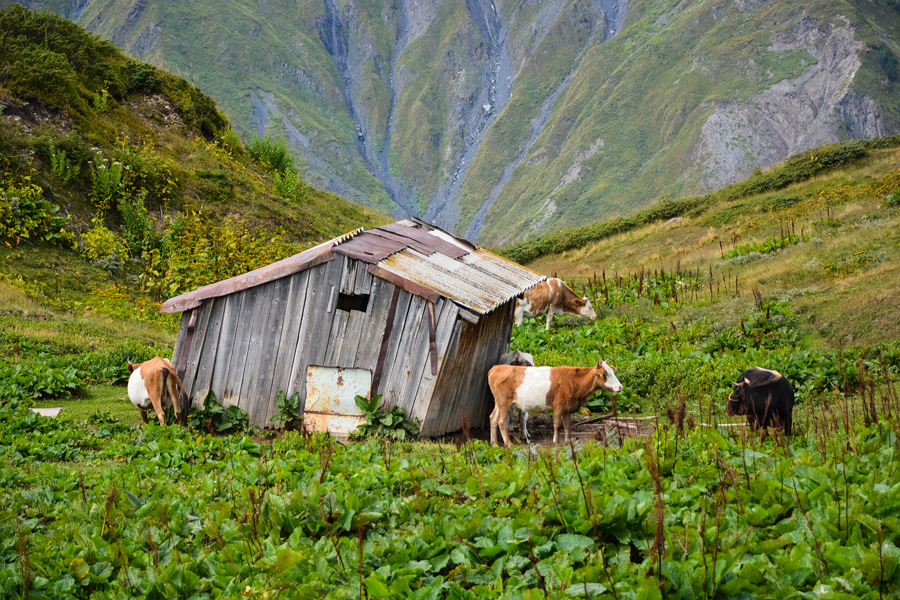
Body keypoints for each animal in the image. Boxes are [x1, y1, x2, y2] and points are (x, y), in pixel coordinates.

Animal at [488, 358, 624, 448]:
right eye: (605, 374)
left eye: (613, 372)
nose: (620, 387)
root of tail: (496, 368)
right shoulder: (559, 405)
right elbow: (557, 424)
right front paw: (555, 441)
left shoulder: (568, 408)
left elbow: (568, 425)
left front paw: (568, 441)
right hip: (504, 402)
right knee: (501, 421)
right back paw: (508, 444)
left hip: (498, 403)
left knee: (493, 418)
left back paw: (494, 443)